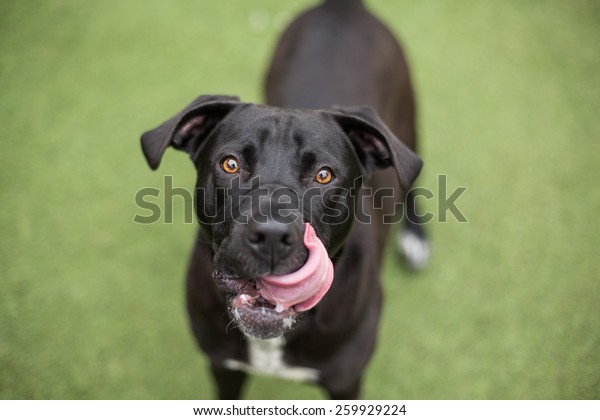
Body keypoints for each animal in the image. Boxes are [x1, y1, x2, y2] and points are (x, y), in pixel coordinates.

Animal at [140, 0, 424, 400]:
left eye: (324, 174)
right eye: (230, 164)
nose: (272, 236)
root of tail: (342, 6)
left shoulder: (346, 381)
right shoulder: (223, 367)